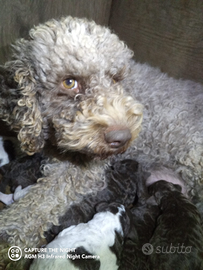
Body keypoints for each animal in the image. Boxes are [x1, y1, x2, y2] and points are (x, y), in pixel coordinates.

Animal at [0, 16, 202, 268]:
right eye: (69, 82)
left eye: (115, 78)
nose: (122, 138)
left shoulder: (81, 171)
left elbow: (40, 202)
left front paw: (9, 231)